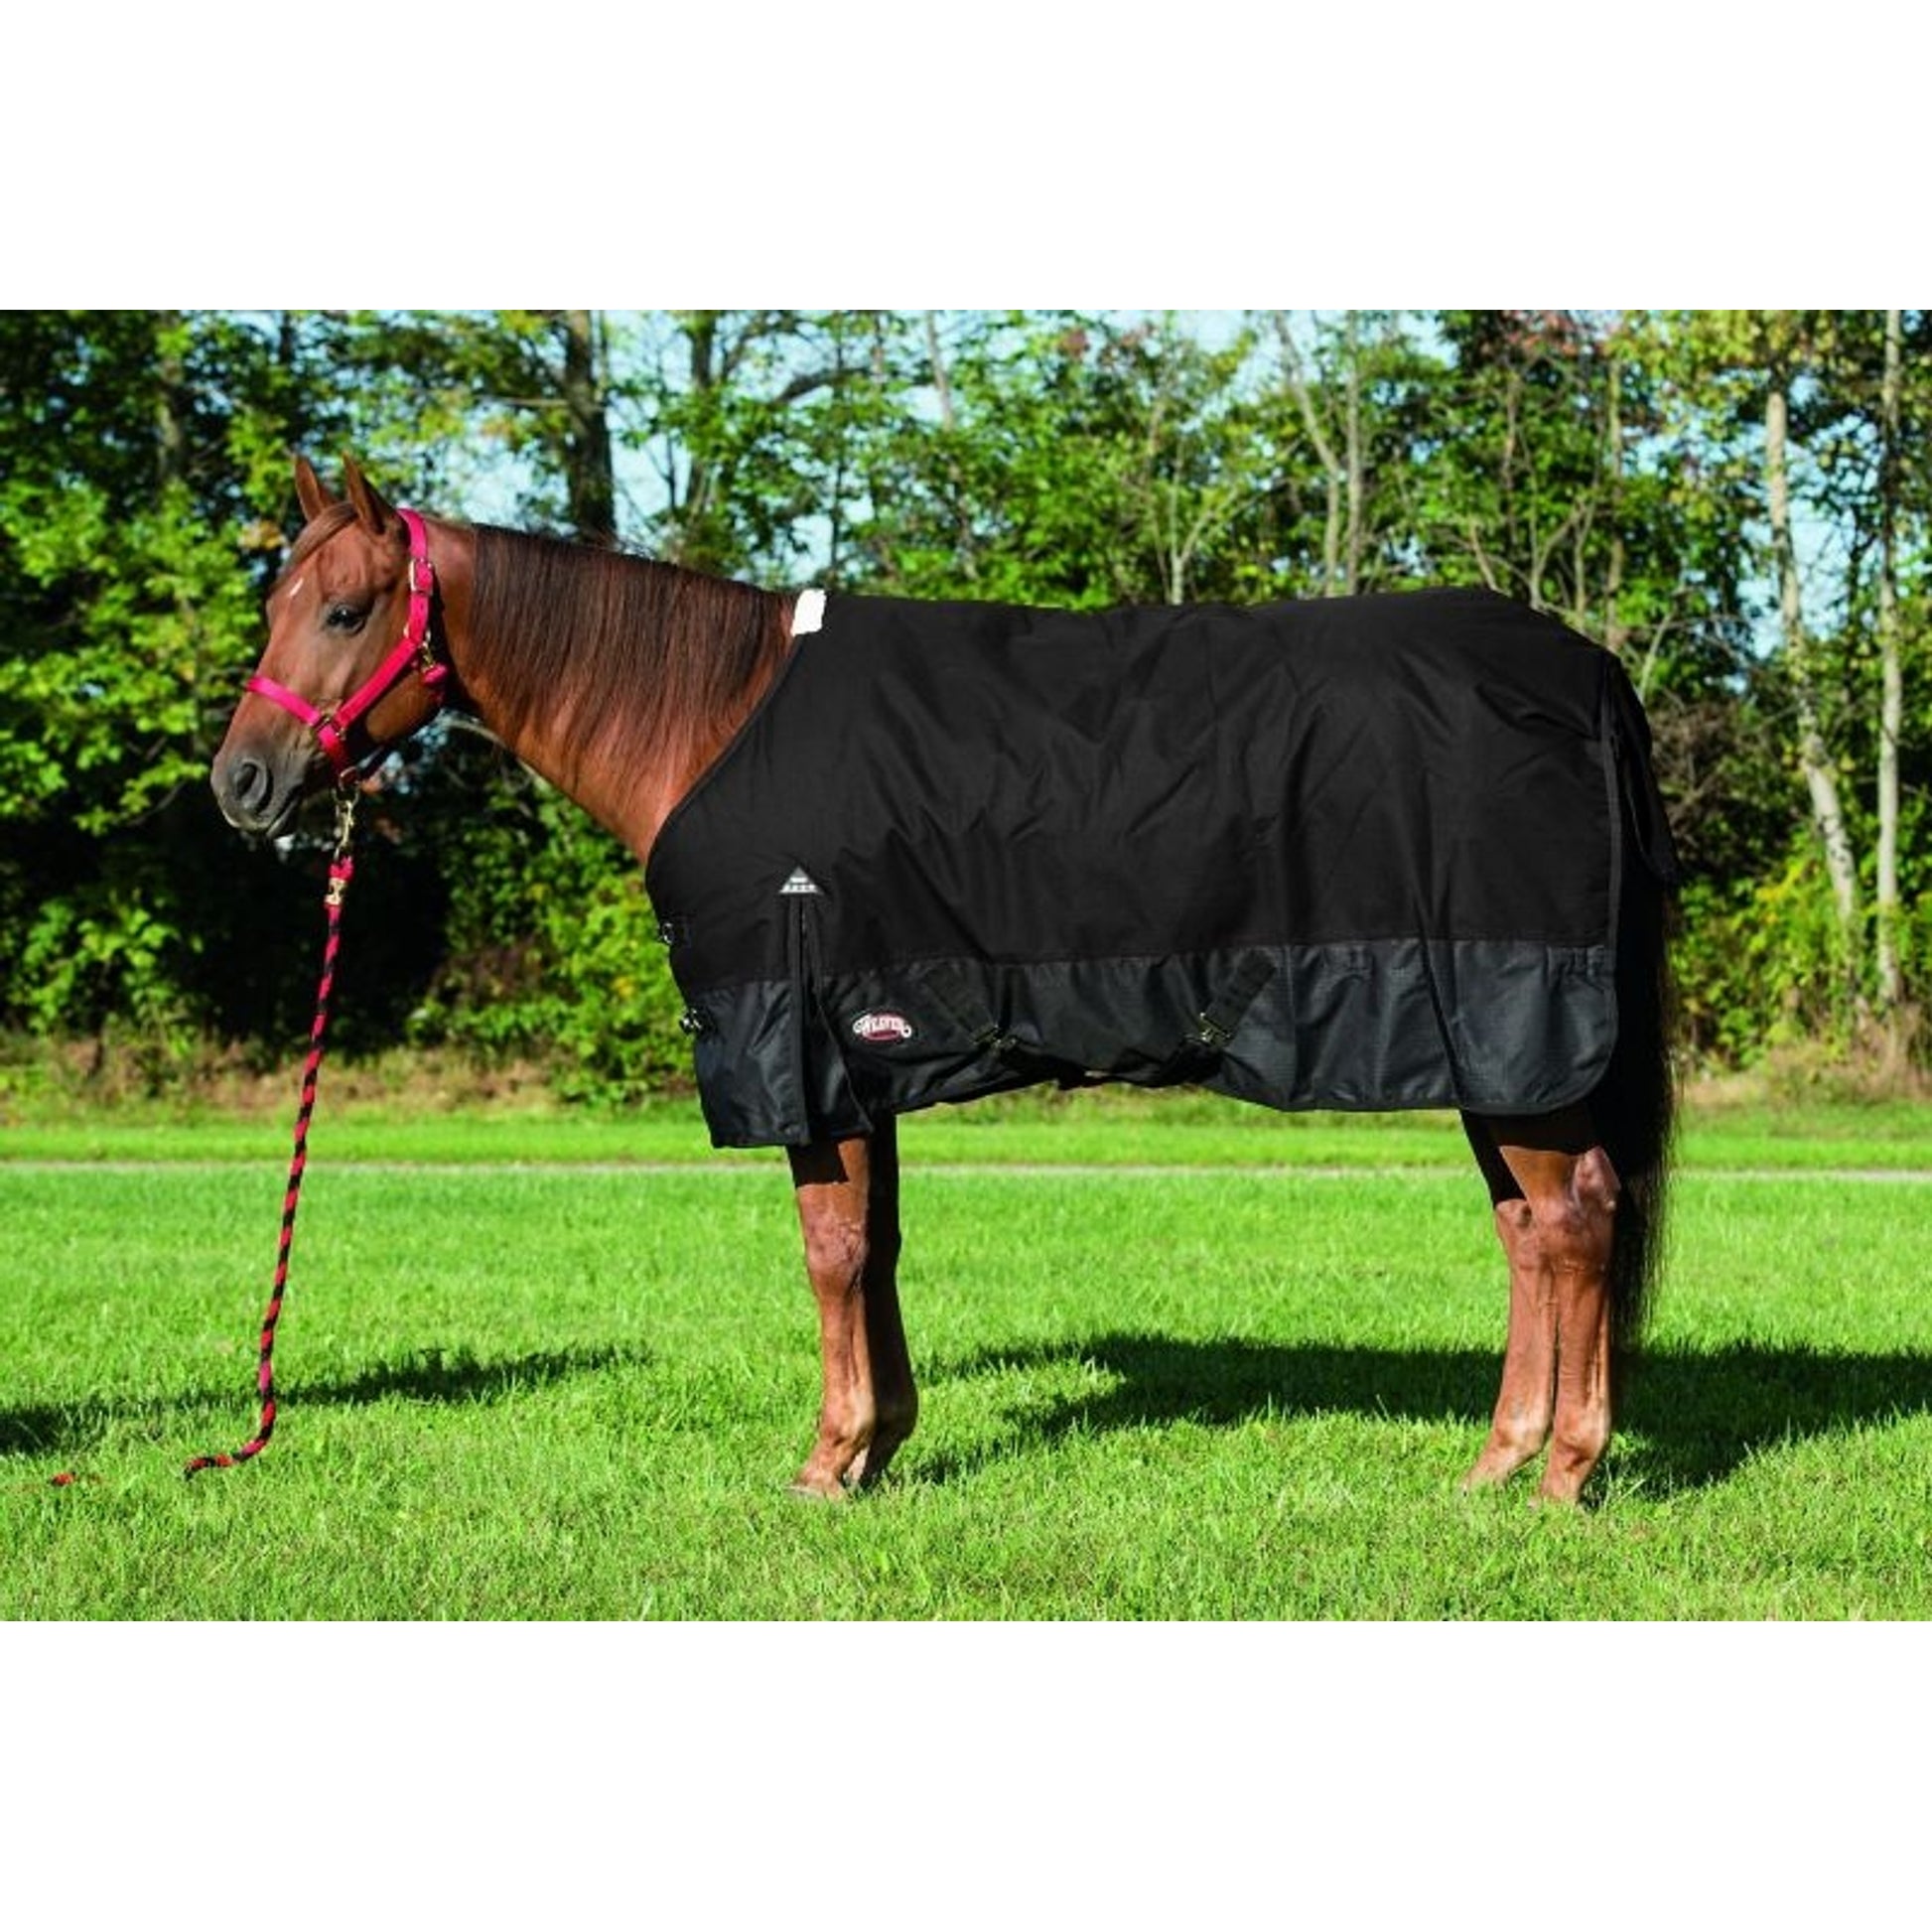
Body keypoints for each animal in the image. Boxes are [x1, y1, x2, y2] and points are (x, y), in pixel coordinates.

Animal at [212, 455, 1677, 1505]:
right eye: (273, 604)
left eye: (343, 608)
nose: (242, 784)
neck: (711, 716)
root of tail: (1588, 674)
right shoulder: (866, 1049)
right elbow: (878, 1244)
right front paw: (881, 1444)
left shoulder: (796, 1045)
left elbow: (829, 1248)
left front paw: (827, 1459)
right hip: (1488, 1054)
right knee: (1528, 1234)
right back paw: (1494, 1462)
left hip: (1517, 1033)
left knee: (1576, 1221)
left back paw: (1564, 1474)